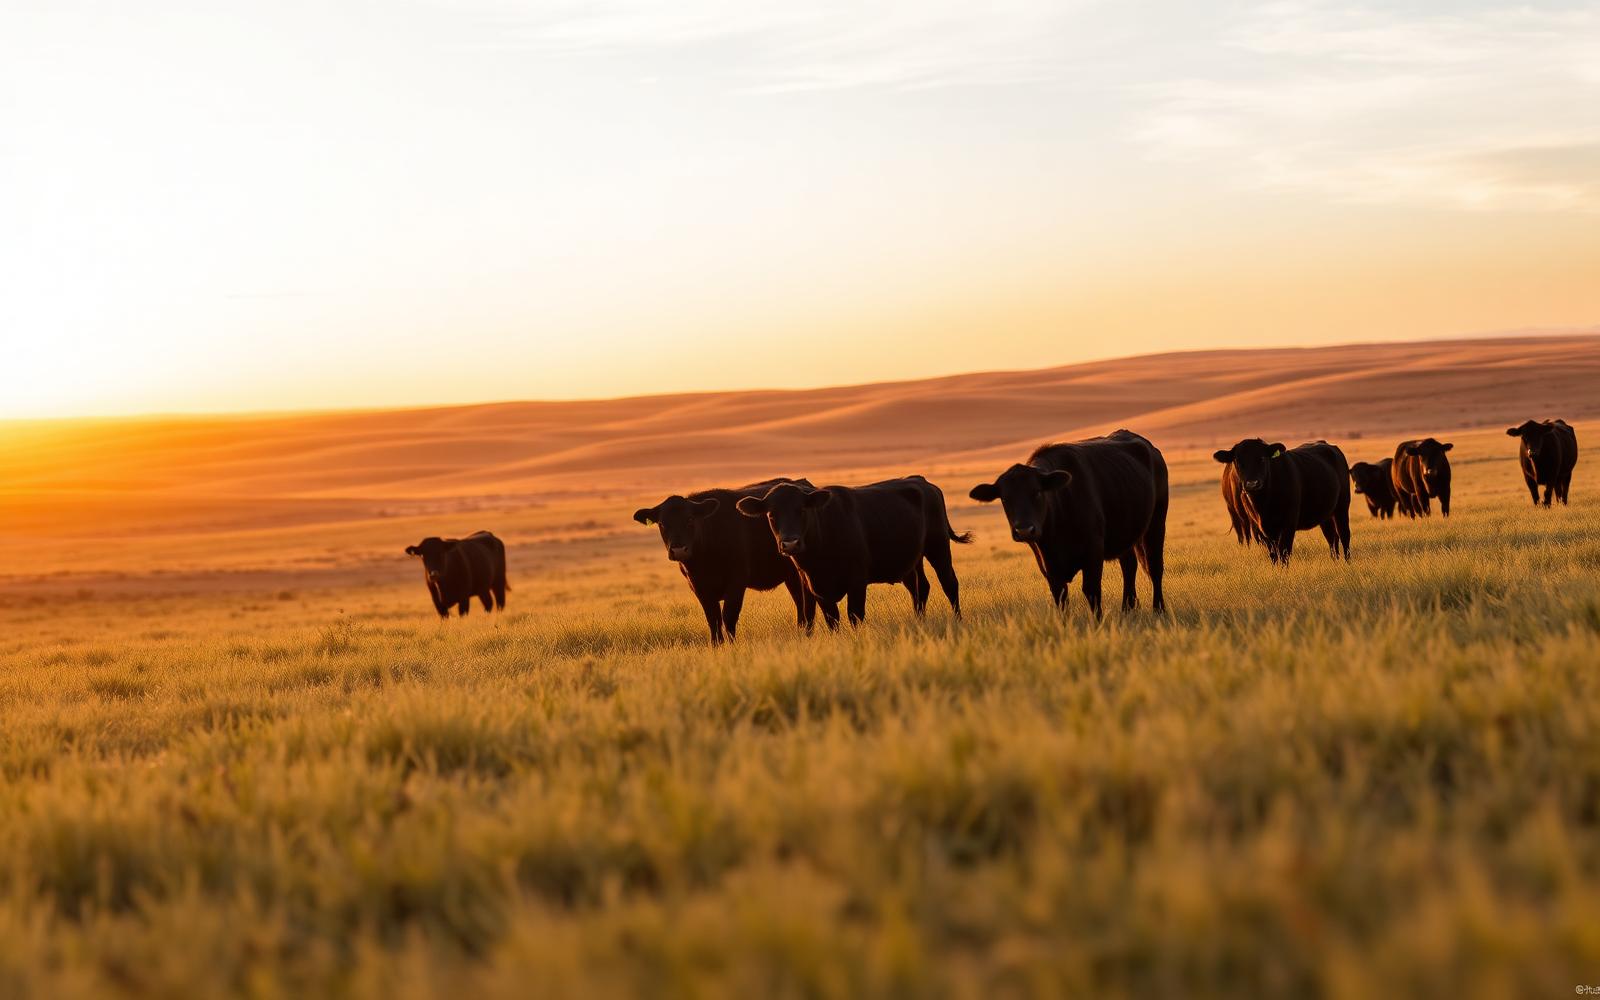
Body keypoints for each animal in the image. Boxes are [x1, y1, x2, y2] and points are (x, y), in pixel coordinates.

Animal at [633, 478, 816, 644]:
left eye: (690, 519)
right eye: (662, 524)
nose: (678, 550)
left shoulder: (736, 582)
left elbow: (728, 616)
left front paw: (732, 645)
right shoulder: (698, 587)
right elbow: (712, 619)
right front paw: (716, 645)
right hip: (791, 575)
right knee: (799, 601)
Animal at [736, 476, 969, 628]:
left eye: (801, 510)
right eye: (771, 515)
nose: (790, 544)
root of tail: (923, 482)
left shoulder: (857, 580)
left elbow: (854, 615)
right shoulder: (815, 587)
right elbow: (832, 619)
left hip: (938, 546)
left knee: (949, 583)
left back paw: (958, 620)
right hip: (913, 561)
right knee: (920, 588)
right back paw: (919, 621)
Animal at [969, 429, 1168, 617]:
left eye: (1037, 492)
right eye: (1005, 499)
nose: (1024, 530)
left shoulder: (1093, 550)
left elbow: (1091, 591)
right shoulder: (1048, 562)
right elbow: (1060, 594)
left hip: (1156, 522)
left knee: (1154, 566)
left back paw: (1159, 609)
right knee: (1129, 566)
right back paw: (1127, 609)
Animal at [1212, 439, 1351, 565]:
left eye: (1262, 458)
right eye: (1238, 461)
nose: (1252, 484)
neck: (1263, 505)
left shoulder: (1288, 525)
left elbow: (1284, 552)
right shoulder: (1262, 529)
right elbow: (1273, 554)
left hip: (1342, 507)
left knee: (1344, 534)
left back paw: (1347, 562)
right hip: (1325, 514)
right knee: (1331, 537)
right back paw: (1335, 561)